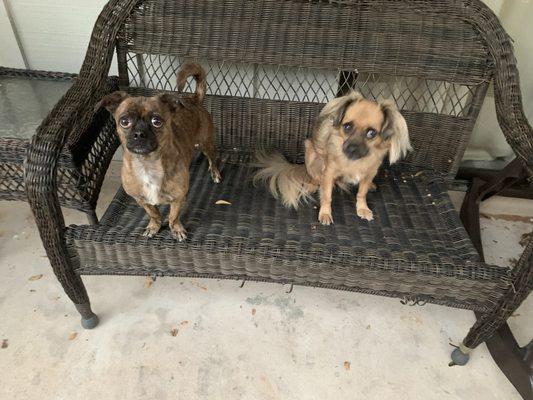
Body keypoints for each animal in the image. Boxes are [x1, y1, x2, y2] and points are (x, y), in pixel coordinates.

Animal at [95, 61, 220, 239]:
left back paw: (215, 173)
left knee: (212, 158)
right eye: (124, 121)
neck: (147, 164)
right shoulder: (142, 200)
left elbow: (174, 216)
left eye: (156, 121)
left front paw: (176, 229)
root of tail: (193, 99)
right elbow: (154, 214)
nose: (139, 133)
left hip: (205, 143)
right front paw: (154, 226)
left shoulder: (177, 199)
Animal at [254, 90, 412, 225]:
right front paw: (325, 213)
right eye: (347, 127)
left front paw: (362, 208)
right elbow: (327, 196)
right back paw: (312, 186)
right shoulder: (329, 173)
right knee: (316, 178)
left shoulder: (369, 173)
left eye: (371, 133)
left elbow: (361, 193)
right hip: (310, 153)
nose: (352, 148)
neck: (353, 162)